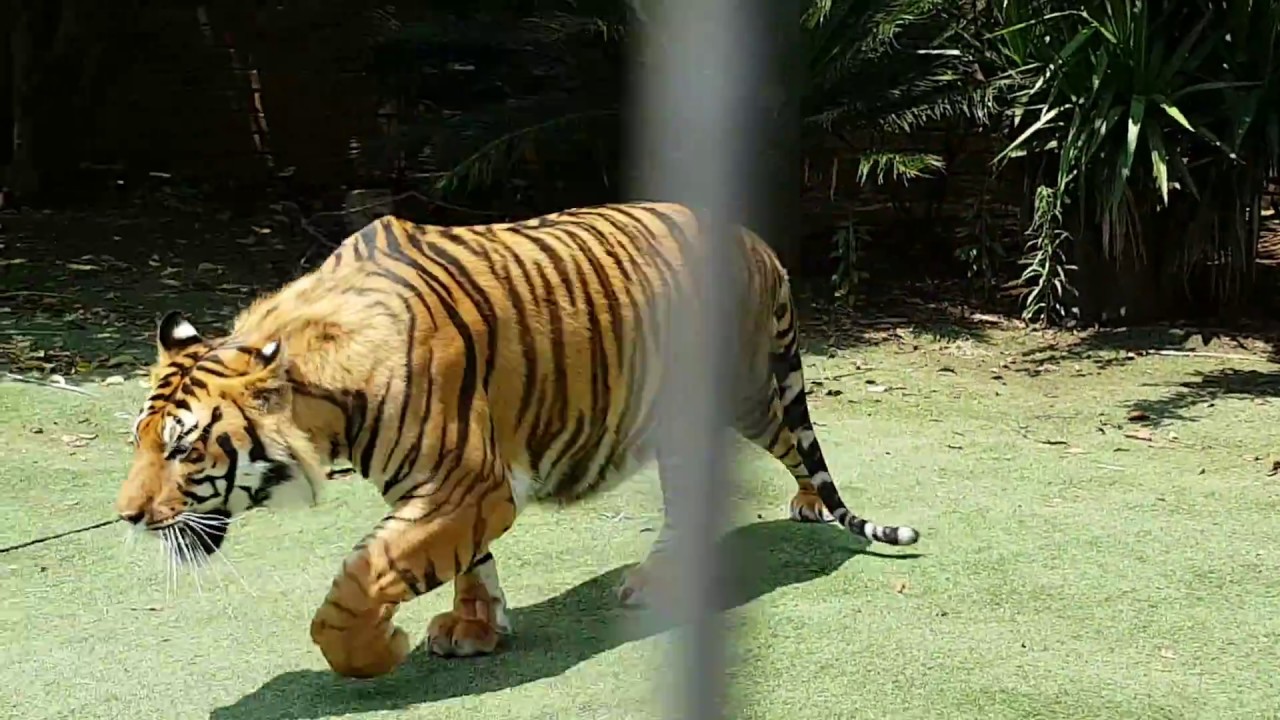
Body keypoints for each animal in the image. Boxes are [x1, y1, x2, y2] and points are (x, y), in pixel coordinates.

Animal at [115, 200, 919, 679]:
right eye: (141, 443)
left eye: (185, 449)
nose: (127, 517)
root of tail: (754, 240)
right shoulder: (450, 489)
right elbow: (468, 565)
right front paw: (477, 628)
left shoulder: (466, 483)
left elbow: (361, 583)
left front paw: (376, 651)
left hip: (742, 391)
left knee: (780, 444)